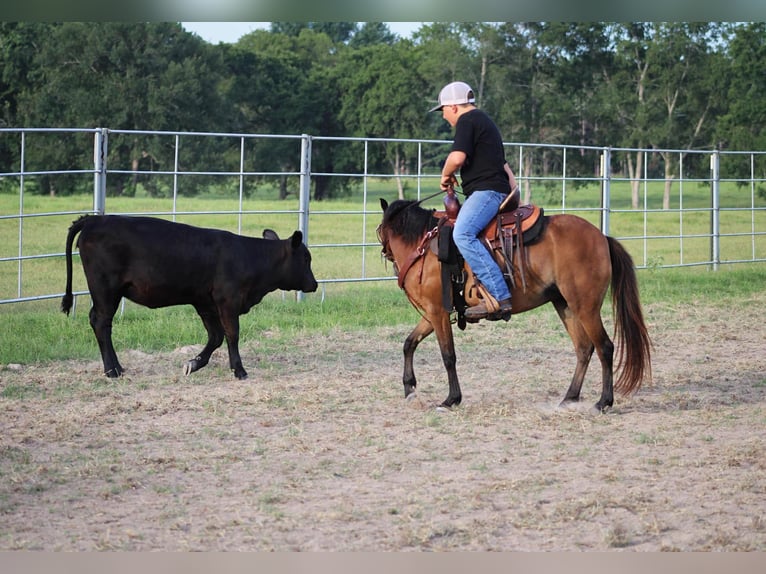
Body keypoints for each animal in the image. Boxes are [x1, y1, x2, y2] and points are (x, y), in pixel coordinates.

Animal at [60, 214, 320, 380]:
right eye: (306, 258)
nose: (315, 284)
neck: (249, 257)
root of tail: (95, 219)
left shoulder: (205, 303)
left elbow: (216, 337)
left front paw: (193, 364)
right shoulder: (228, 301)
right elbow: (232, 335)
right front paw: (239, 370)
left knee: (100, 322)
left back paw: (117, 368)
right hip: (106, 290)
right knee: (101, 322)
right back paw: (112, 370)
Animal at [378, 196, 656, 412]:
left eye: (380, 230)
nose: (387, 254)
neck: (424, 247)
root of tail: (601, 237)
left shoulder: (437, 312)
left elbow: (448, 355)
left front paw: (451, 399)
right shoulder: (433, 313)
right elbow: (409, 343)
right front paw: (409, 388)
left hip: (585, 307)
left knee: (604, 348)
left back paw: (603, 402)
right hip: (565, 305)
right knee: (584, 349)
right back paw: (569, 398)